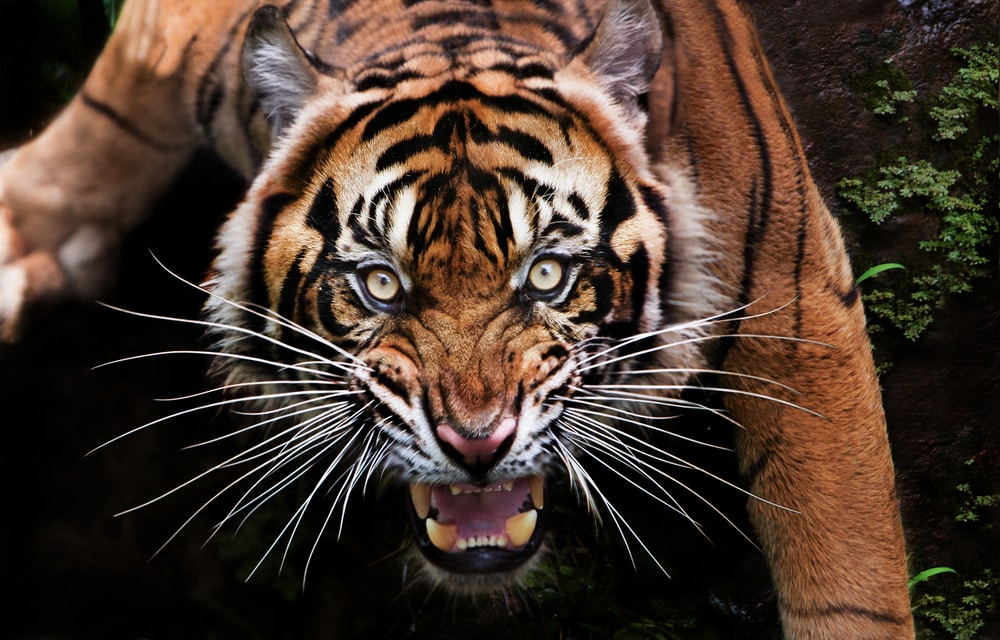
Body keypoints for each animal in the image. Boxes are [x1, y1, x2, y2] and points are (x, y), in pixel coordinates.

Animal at [0, 0, 916, 636]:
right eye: (380, 284)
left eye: (546, 275)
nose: (477, 445)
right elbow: (121, 101)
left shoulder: (793, 295)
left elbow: (849, 570)